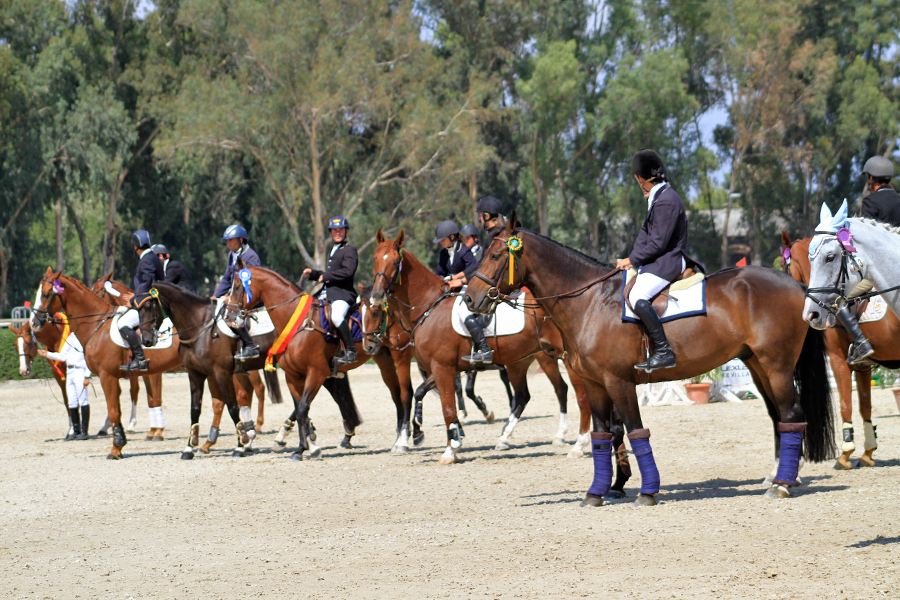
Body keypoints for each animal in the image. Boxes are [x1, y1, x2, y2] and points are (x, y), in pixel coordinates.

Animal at [31, 268, 183, 460]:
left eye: (45, 294)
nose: (34, 323)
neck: (97, 324)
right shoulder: (118, 377)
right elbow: (120, 409)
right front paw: (121, 442)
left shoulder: (108, 376)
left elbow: (115, 411)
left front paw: (116, 447)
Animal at [366, 229, 604, 464]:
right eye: (375, 259)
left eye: (395, 261)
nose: (377, 295)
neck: (428, 307)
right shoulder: (443, 368)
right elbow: (420, 393)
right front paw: (419, 433)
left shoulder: (442, 368)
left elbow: (448, 408)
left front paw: (450, 450)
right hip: (520, 362)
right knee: (524, 396)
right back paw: (505, 438)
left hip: (562, 359)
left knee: (579, 396)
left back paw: (578, 444)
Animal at [464, 216, 836, 506]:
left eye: (495, 254)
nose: (469, 298)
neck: (591, 301)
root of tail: (797, 285)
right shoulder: (596, 384)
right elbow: (603, 434)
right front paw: (597, 492)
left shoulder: (618, 381)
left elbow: (634, 430)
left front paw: (646, 491)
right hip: (759, 366)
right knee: (779, 417)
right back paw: (778, 477)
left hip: (777, 367)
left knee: (792, 414)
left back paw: (782, 485)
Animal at [780, 232, 892, 472]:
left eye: (785, 266)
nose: (809, 313)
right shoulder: (863, 366)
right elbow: (865, 406)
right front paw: (868, 452)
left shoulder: (838, 360)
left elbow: (845, 405)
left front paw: (845, 453)